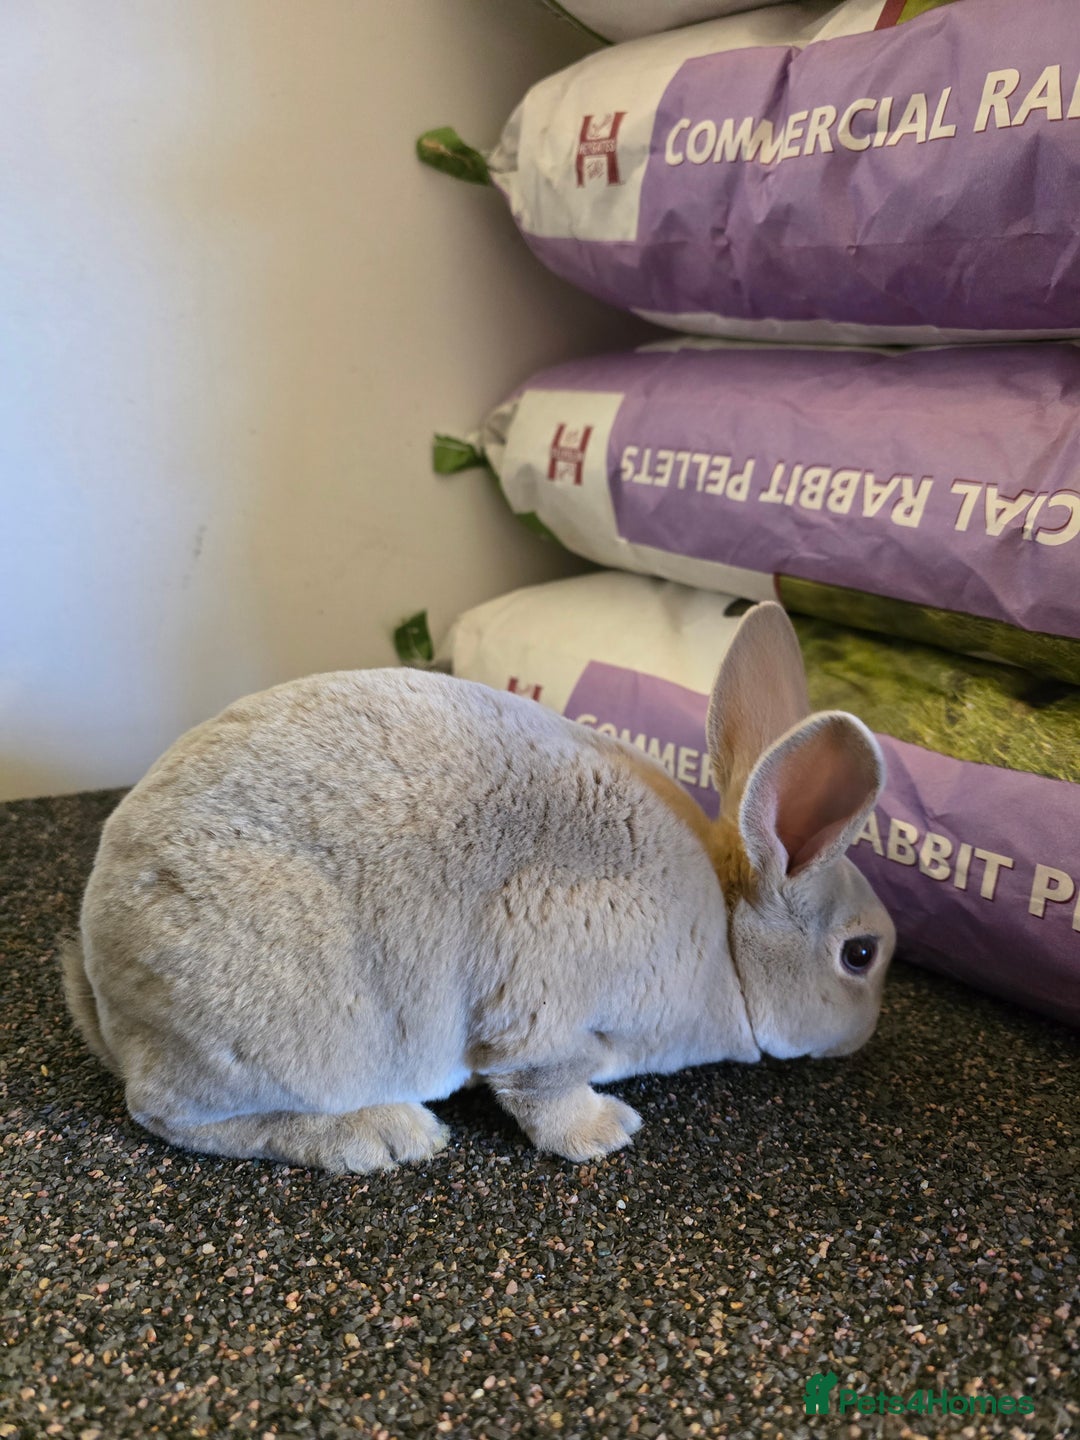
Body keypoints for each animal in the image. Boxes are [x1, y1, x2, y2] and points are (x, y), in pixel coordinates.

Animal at [62, 601, 895, 1173]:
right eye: (860, 955)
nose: (861, 1039)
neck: (724, 938)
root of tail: (112, 999)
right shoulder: (547, 1012)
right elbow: (544, 1091)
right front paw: (605, 1134)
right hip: (287, 1031)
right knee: (171, 1116)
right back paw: (383, 1136)